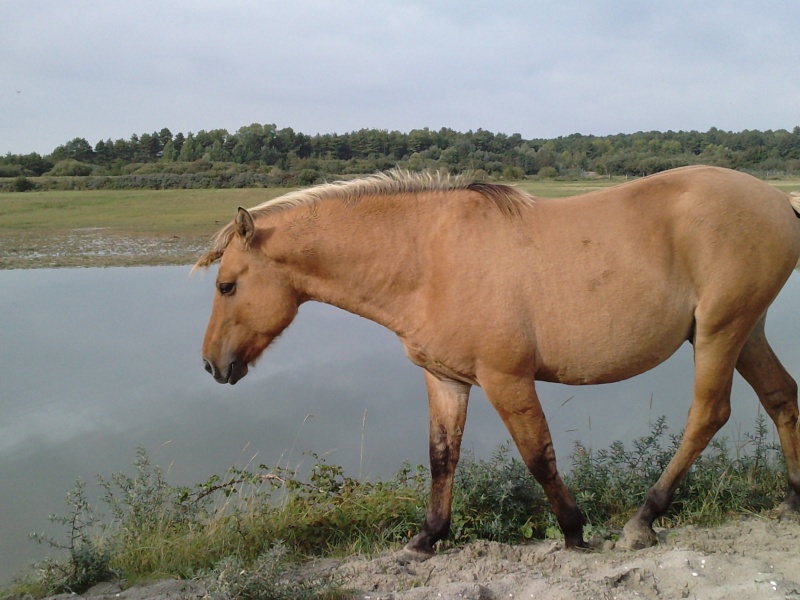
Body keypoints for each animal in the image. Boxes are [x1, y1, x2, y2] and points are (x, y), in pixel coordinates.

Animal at [194, 166, 800, 556]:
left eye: (226, 286)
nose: (211, 366)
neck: (425, 259)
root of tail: (779, 200)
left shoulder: (506, 379)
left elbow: (539, 456)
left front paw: (575, 532)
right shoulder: (446, 379)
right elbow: (442, 456)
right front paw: (426, 538)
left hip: (721, 331)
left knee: (709, 414)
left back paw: (643, 520)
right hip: (744, 331)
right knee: (781, 398)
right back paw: (792, 499)